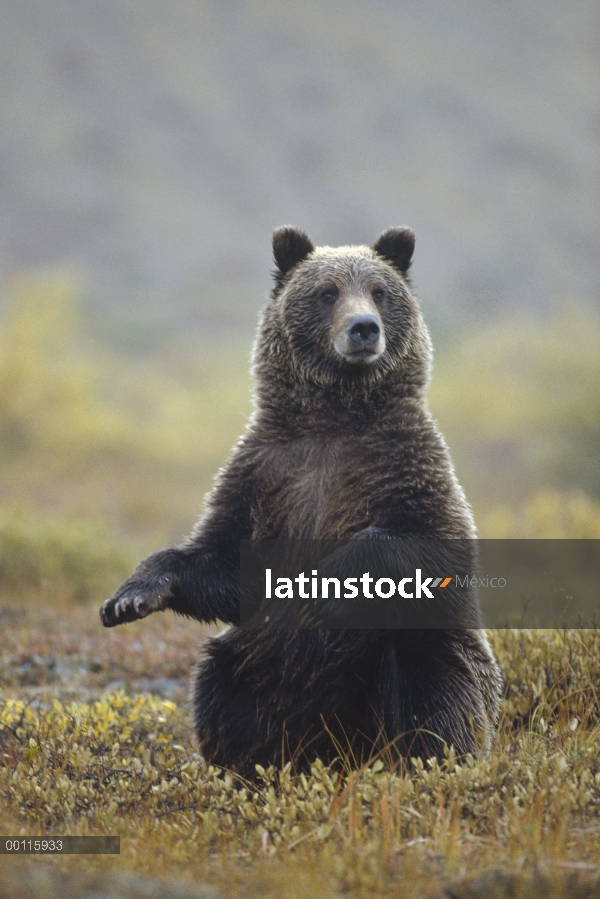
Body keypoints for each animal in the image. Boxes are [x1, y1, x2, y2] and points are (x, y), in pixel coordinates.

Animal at [102, 225, 502, 772]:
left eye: (380, 291)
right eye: (327, 292)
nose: (364, 328)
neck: (334, 419)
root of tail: (334, 749)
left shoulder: (406, 466)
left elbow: (427, 543)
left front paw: (325, 589)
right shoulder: (268, 475)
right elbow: (221, 557)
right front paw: (130, 597)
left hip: (408, 661)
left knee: (434, 680)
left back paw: (424, 761)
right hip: (259, 663)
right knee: (220, 688)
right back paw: (245, 765)